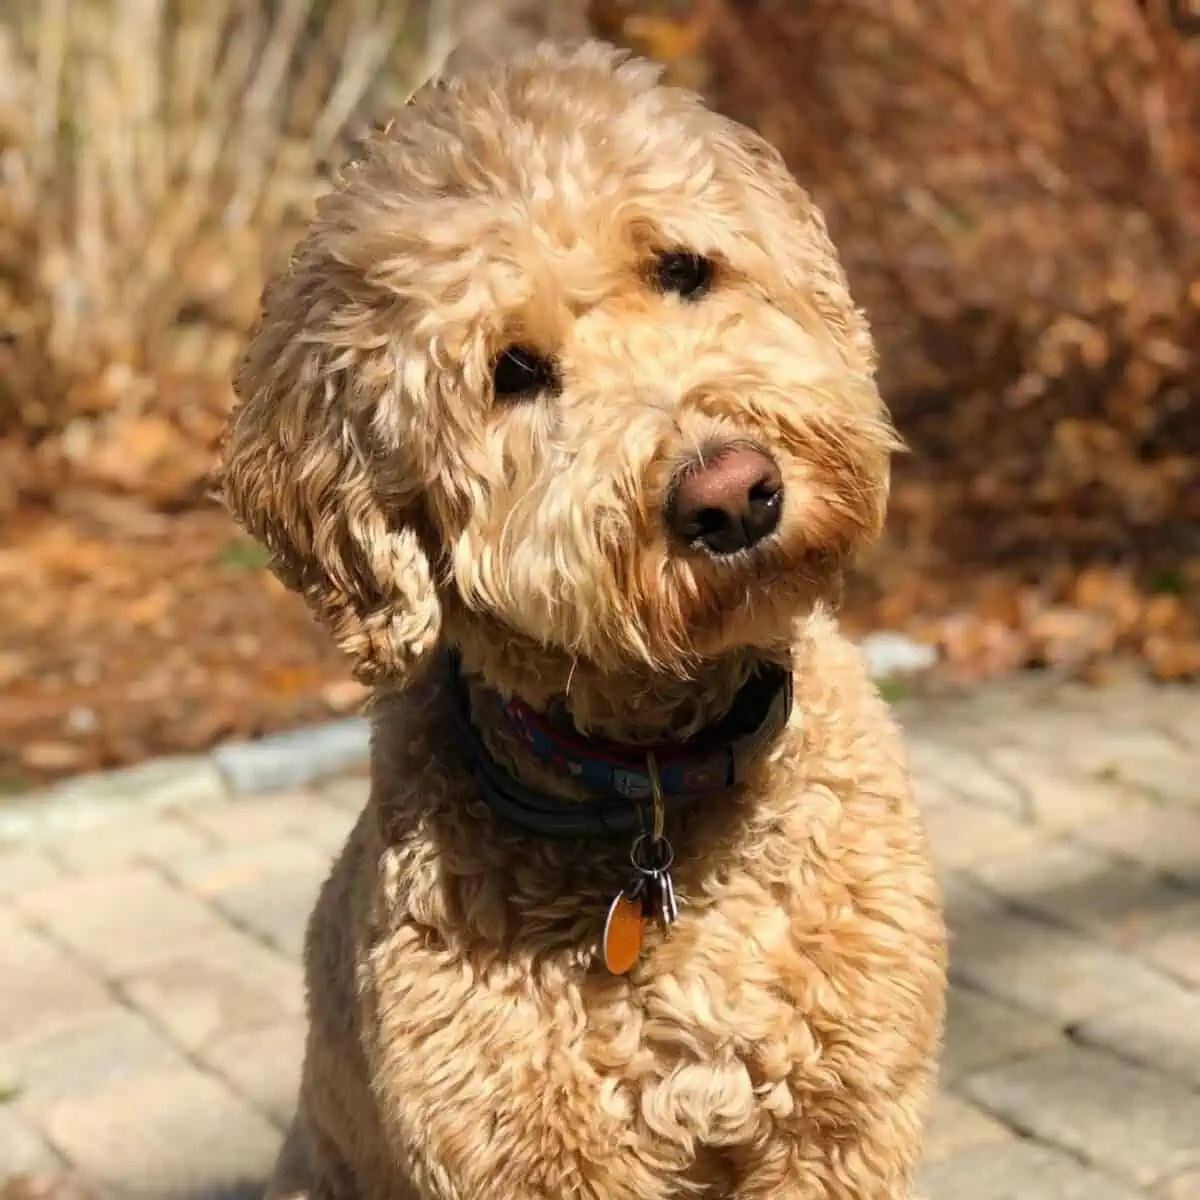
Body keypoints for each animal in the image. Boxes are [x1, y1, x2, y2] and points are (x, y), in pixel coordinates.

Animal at [218, 37, 945, 1200]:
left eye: (684, 269)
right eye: (514, 372)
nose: (732, 495)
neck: (653, 792)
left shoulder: (841, 1126)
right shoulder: (523, 1154)